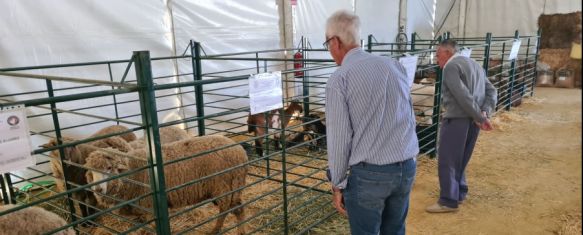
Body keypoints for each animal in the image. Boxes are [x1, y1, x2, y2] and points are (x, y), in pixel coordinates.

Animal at [86, 135, 249, 234]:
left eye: (109, 168)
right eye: (91, 171)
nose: (98, 188)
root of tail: (240, 152)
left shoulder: (150, 208)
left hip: (225, 187)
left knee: (230, 210)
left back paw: (219, 230)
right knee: (236, 209)